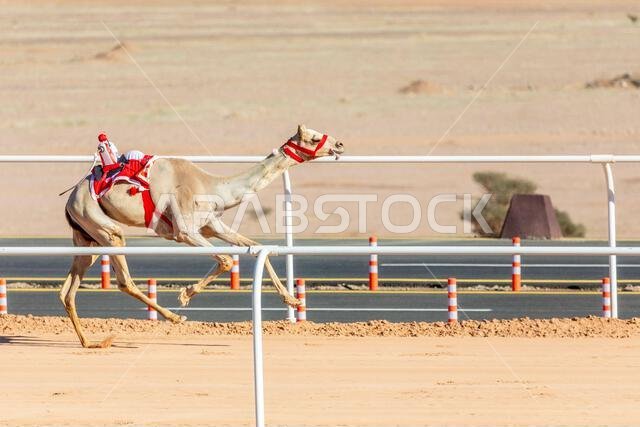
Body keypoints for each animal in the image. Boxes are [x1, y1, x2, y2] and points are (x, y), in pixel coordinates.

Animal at [63, 125, 344, 348]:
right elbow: (226, 260)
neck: (212, 186)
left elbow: (255, 247)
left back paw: (89, 342)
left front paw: (294, 300)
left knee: (68, 290)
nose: (339, 144)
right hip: (103, 226)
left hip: (87, 237)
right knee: (123, 279)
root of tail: (70, 198)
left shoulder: (212, 225)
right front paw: (186, 294)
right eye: (312, 137)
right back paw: (174, 317)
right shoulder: (184, 231)